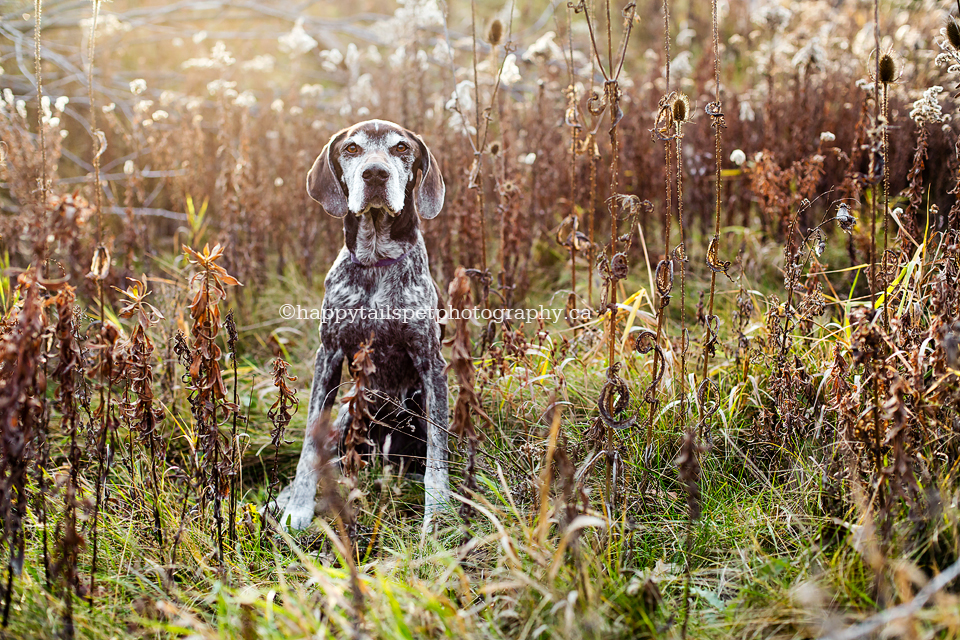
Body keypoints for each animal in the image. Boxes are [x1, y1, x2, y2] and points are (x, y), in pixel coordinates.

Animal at [280, 119, 452, 528]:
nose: (375, 173)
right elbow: (309, 447)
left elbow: (438, 459)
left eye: (402, 147)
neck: (376, 261)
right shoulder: (328, 355)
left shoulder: (431, 364)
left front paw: (438, 516)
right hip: (348, 413)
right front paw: (298, 507)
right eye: (352, 149)